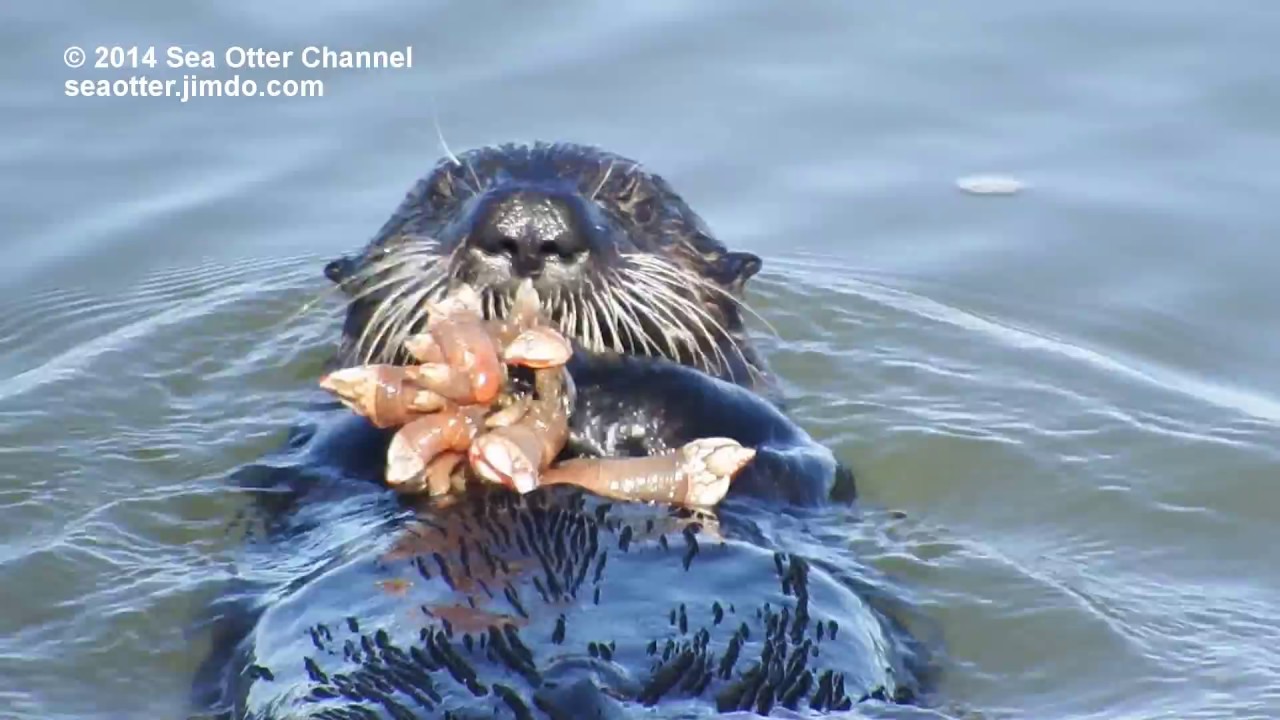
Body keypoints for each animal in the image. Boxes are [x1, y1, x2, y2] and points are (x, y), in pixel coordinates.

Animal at [193, 143, 932, 719]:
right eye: (439, 197)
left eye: (637, 205)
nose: (527, 224)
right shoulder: (303, 466)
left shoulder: (801, 463)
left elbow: (771, 444)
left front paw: (578, 373)